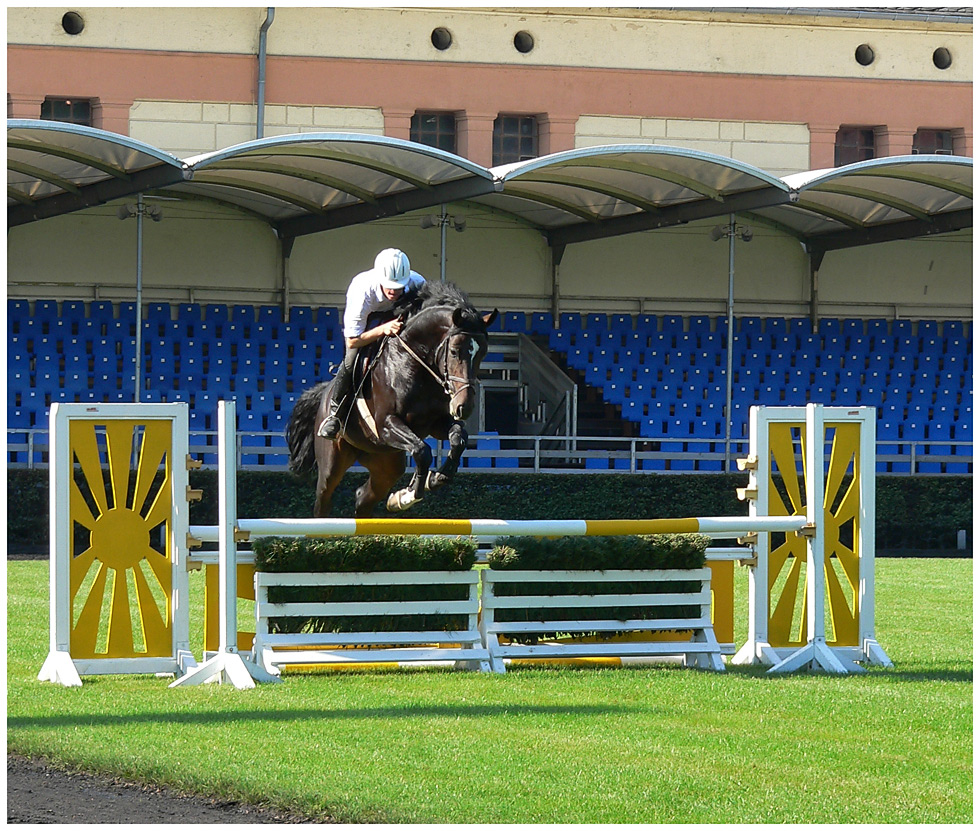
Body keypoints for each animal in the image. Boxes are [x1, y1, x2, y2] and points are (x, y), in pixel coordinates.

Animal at [284, 286, 498, 520]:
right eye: (454, 351)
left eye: (483, 352)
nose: (464, 407)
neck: (414, 363)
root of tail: (324, 394)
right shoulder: (386, 424)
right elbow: (422, 451)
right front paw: (410, 494)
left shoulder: (435, 424)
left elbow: (459, 439)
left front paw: (434, 479)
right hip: (333, 462)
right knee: (323, 499)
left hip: (386, 463)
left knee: (363, 497)